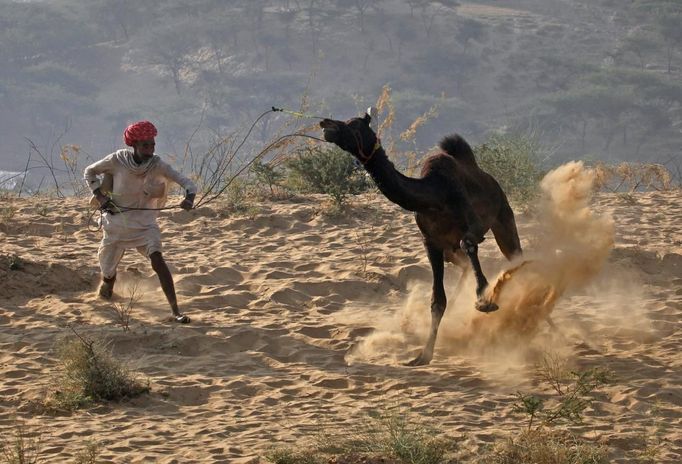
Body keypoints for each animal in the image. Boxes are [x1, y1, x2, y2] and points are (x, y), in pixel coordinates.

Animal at [318, 111, 520, 366]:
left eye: (354, 125)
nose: (325, 123)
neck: (433, 196)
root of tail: (493, 180)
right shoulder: (431, 242)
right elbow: (437, 300)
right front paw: (422, 356)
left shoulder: (471, 224)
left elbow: (469, 243)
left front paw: (484, 300)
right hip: (450, 250)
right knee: (465, 264)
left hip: (503, 218)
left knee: (516, 257)